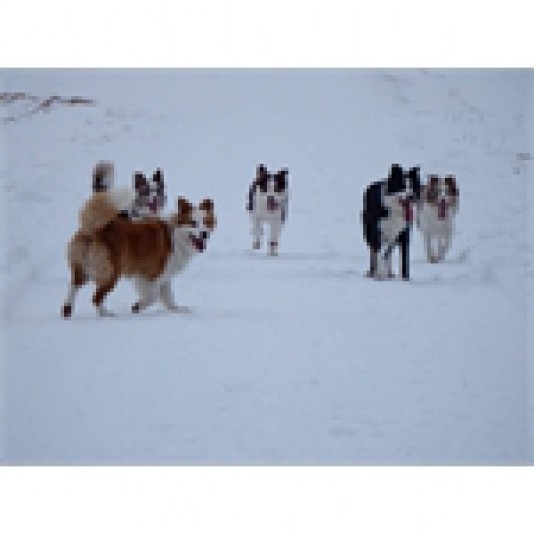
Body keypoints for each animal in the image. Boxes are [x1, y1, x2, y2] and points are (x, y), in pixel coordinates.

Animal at [63, 193, 219, 318]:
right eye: (193, 223)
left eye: (206, 222)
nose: (204, 233)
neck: (175, 236)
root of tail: (92, 230)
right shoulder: (149, 275)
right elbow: (153, 296)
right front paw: (137, 306)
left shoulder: (165, 276)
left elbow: (169, 298)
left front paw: (177, 310)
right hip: (112, 273)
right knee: (96, 297)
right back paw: (106, 314)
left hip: (84, 269)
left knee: (74, 286)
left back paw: (67, 311)